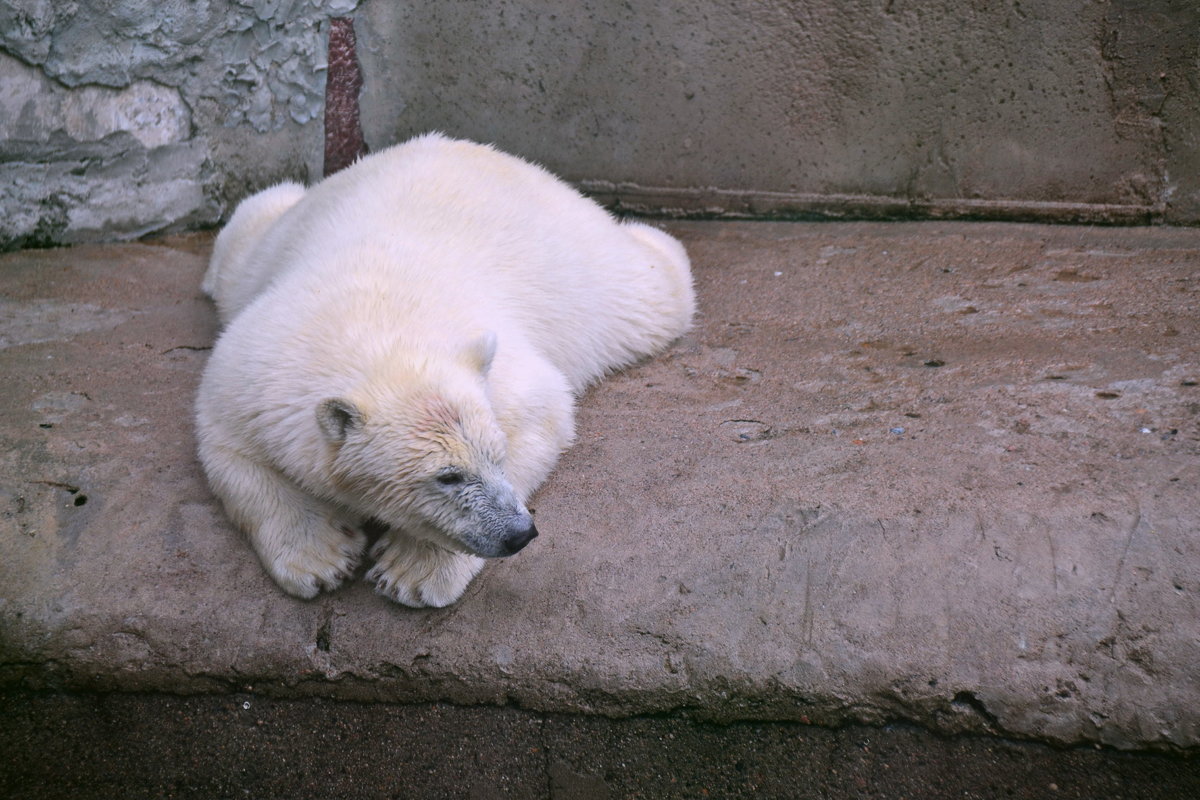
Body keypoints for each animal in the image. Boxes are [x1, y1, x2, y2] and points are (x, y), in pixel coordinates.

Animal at [195, 133, 696, 606]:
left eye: (497, 454)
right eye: (447, 476)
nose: (520, 533)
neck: (374, 336)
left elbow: (542, 414)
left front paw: (411, 572)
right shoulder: (257, 373)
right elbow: (232, 453)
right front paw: (320, 558)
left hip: (589, 270)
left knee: (652, 290)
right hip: (262, 251)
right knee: (255, 218)